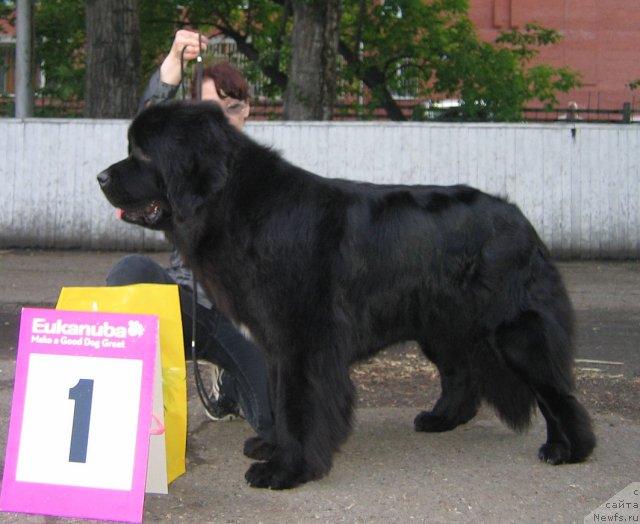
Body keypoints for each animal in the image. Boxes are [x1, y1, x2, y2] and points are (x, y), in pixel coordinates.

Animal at [97, 101, 596, 488]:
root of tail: (521, 220)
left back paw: (568, 448)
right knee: (462, 375)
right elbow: (277, 396)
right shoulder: (276, 340)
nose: (101, 176)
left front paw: (287, 469)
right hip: (441, 326)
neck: (236, 205)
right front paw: (270, 446)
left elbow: (298, 403)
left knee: (554, 390)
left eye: (141, 152)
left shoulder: (303, 339)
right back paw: (440, 419)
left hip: (513, 331)